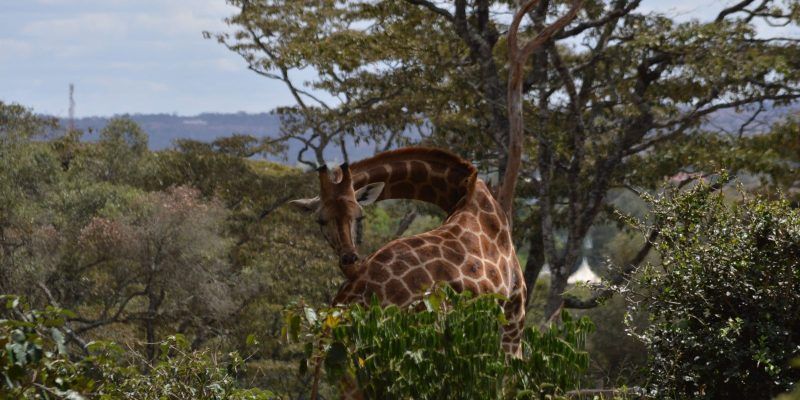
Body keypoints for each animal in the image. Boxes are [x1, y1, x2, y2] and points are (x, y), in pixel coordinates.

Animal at [290, 147, 527, 356]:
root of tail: (350, 298)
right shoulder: (516, 307)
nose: (349, 258)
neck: (463, 191)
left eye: (359, 216)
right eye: (320, 221)